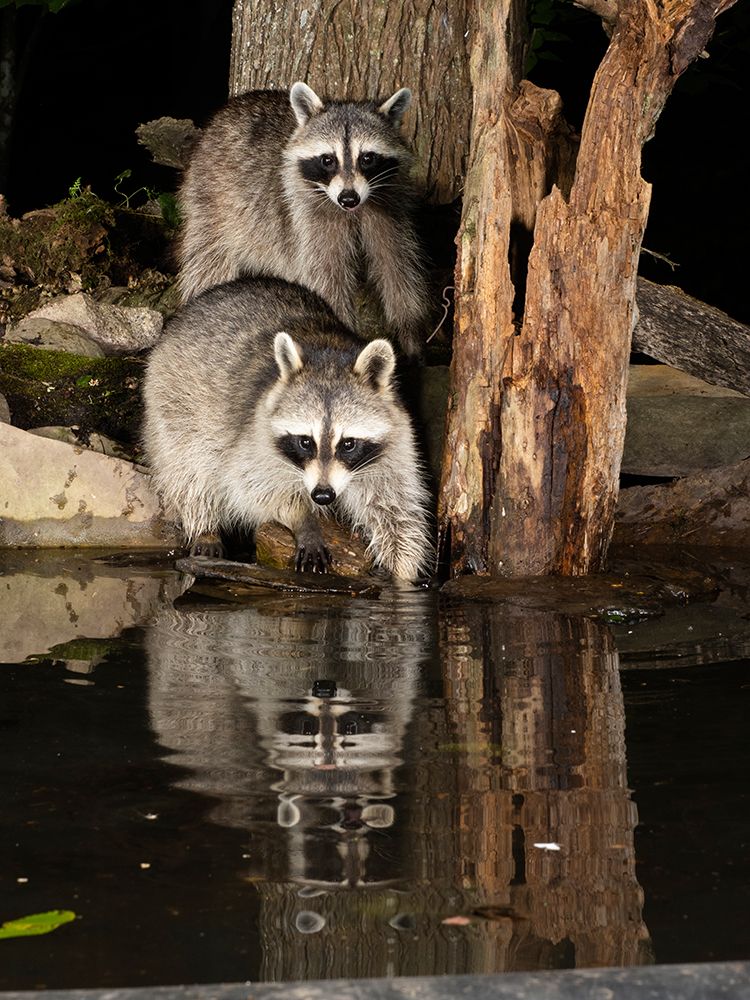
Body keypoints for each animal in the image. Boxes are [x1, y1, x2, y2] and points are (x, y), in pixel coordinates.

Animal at [142, 277, 434, 582]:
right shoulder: (255, 431)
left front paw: (402, 573)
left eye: (348, 443)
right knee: (189, 465)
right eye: (306, 442)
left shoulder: (396, 438)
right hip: (173, 399)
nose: (322, 495)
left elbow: (396, 507)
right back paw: (204, 526)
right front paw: (302, 517)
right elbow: (249, 484)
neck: (330, 352)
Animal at [176, 82, 431, 358]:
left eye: (367, 158)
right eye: (328, 160)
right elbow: (326, 280)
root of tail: (227, 110)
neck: (353, 211)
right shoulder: (308, 220)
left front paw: (411, 335)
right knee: (208, 260)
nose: (348, 198)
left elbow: (396, 266)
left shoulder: (390, 208)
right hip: (210, 196)